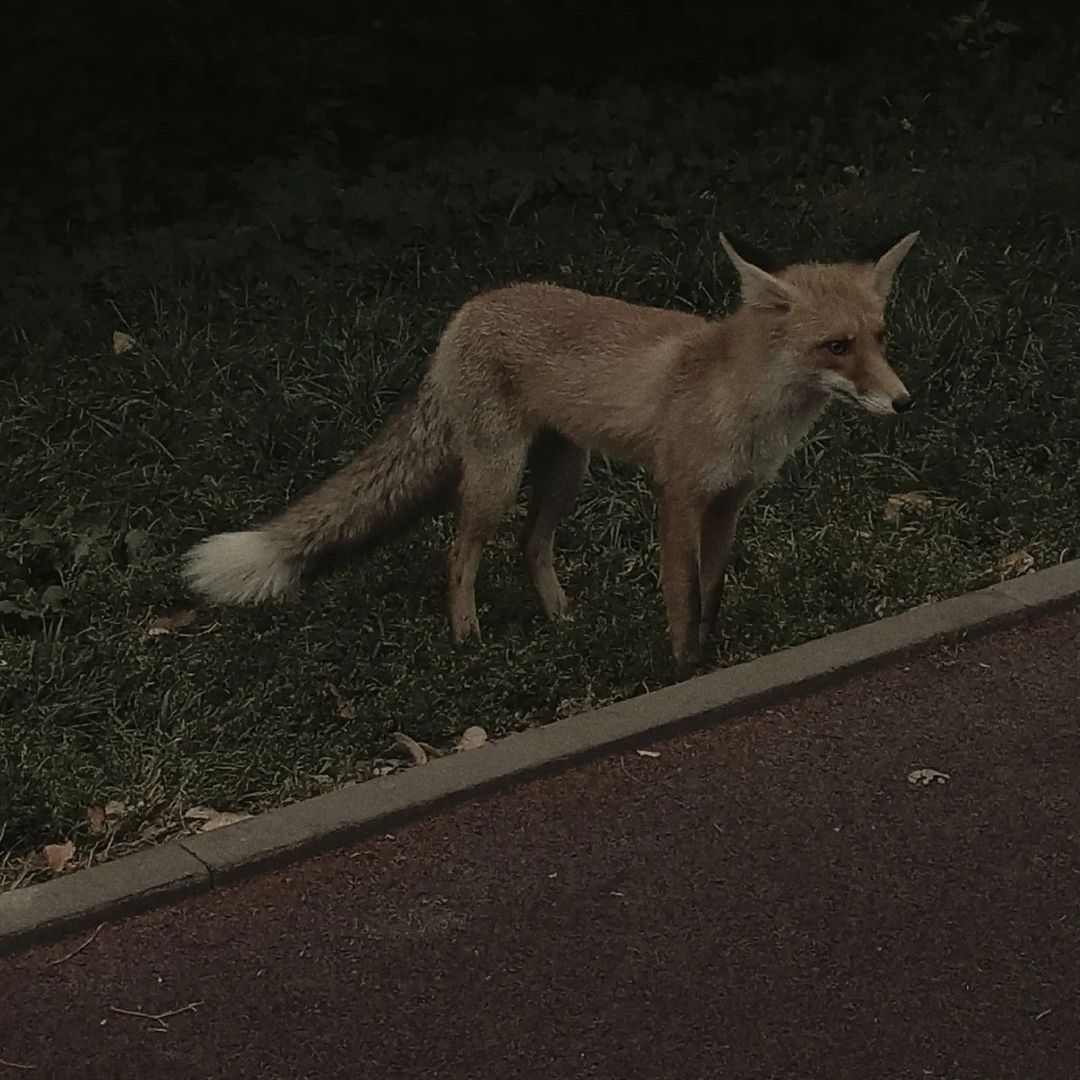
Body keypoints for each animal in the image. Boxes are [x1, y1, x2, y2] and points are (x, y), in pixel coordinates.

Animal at [182, 230, 919, 675]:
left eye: (881, 337)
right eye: (836, 346)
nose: (904, 402)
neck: (742, 403)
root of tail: (466, 312)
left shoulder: (729, 502)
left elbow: (712, 591)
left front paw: (712, 657)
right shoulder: (676, 495)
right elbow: (681, 593)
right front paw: (681, 666)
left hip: (567, 472)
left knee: (529, 545)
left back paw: (561, 620)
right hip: (497, 476)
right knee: (460, 554)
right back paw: (468, 639)